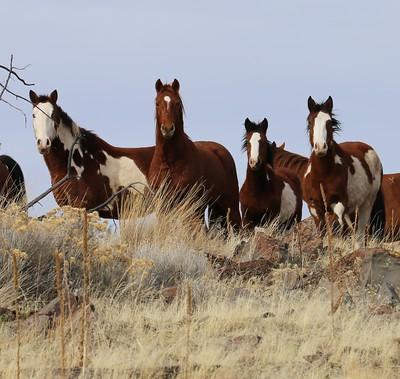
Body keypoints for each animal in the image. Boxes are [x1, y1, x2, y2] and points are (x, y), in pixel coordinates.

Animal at [147, 78, 241, 230]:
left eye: (177, 103)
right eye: (157, 103)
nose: (167, 129)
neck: (170, 162)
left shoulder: (189, 204)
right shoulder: (163, 205)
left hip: (229, 207)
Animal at [304, 95, 382, 243]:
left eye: (329, 122)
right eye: (310, 122)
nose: (321, 147)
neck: (322, 175)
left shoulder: (339, 205)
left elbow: (336, 230)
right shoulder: (314, 207)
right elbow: (322, 233)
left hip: (366, 204)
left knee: (359, 235)